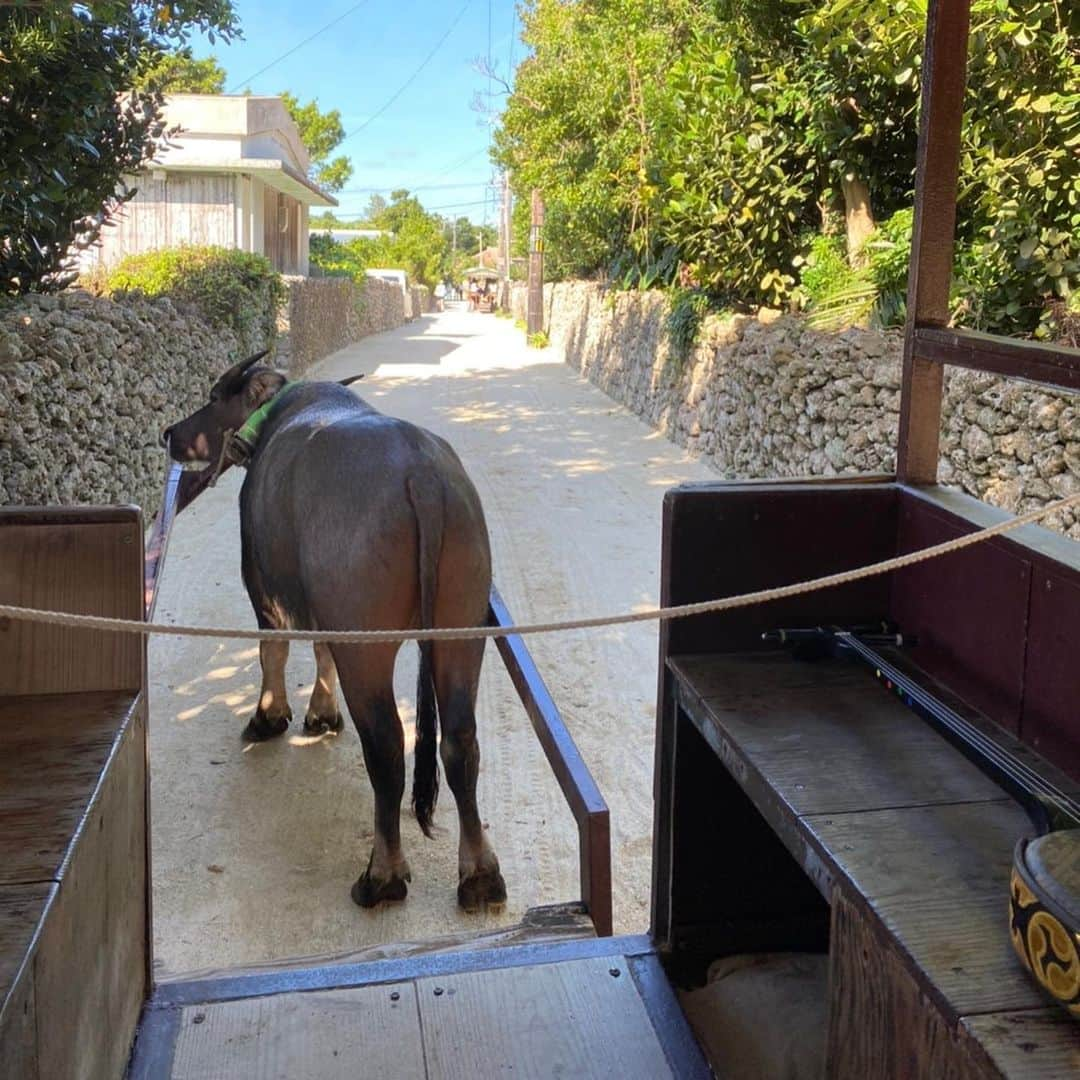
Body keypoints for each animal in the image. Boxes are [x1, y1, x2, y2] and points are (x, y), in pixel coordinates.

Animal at [160, 352, 505, 911]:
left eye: (213, 398)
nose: (170, 433)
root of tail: (422, 475)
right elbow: (320, 650)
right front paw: (322, 713)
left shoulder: (264, 589)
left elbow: (273, 652)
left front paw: (269, 718)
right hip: (462, 629)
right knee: (459, 741)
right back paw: (479, 875)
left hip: (367, 649)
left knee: (387, 748)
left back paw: (383, 876)